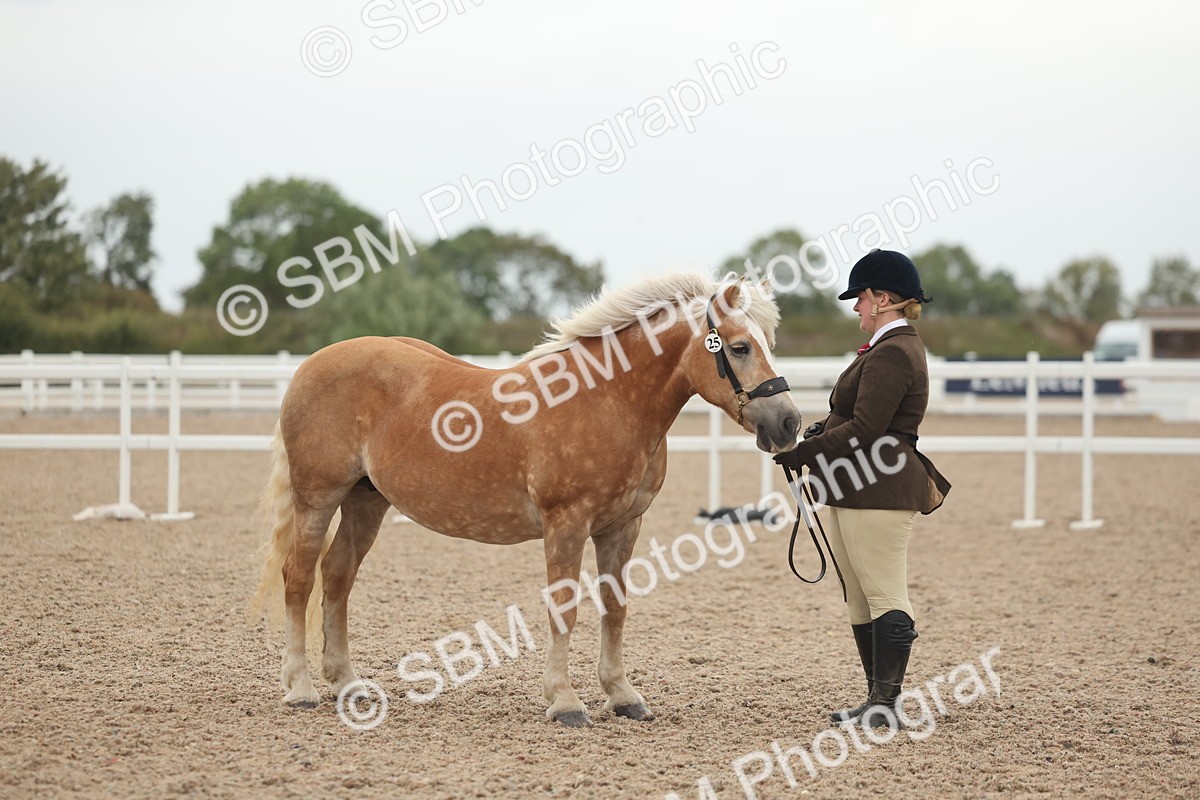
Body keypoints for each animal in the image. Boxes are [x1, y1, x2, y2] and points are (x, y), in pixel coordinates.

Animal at [252, 272, 801, 727]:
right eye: (739, 347)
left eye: (768, 343)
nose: (788, 423)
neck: (609, 400)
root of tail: (310, 365)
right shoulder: (567, 523)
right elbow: (565, 607)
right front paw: (564, 701)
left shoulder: (622, 527)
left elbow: (614, 606)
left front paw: (622, 696)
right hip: (317, 497)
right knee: (299, 578)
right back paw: (300, 688)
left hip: (366, 502)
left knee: (338, 575)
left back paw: (347, 685)